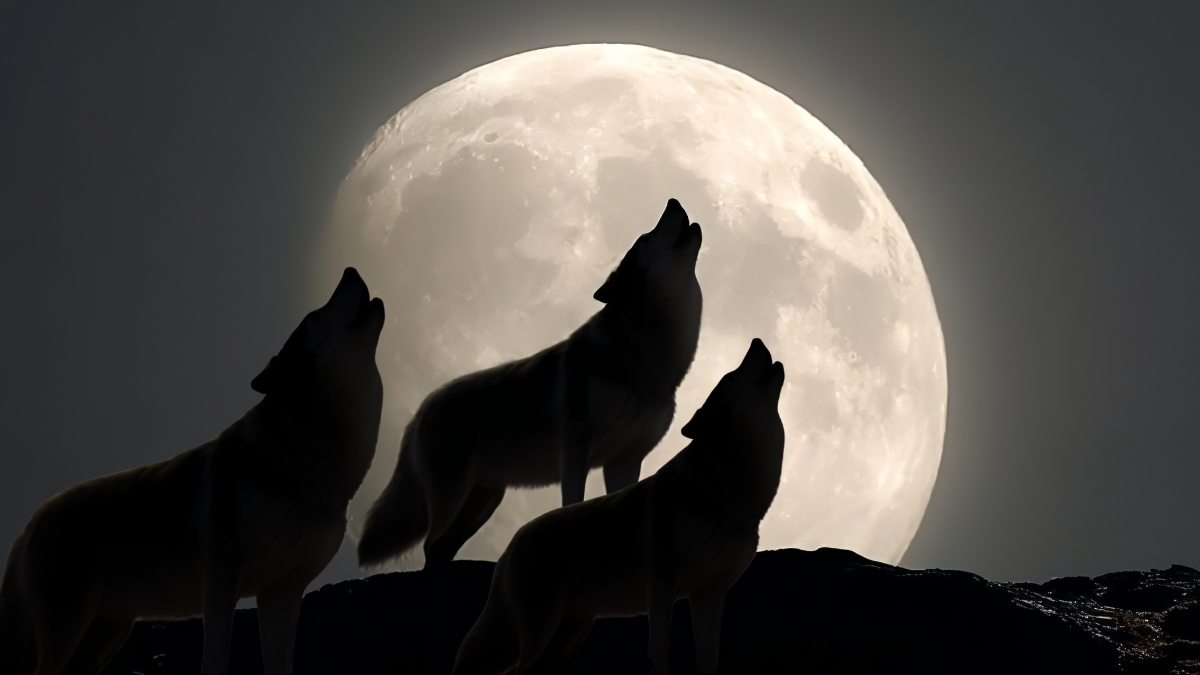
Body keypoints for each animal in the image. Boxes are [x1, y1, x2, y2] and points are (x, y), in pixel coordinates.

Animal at [0, 268, 385, 675]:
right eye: (314, 316)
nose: (350, 270)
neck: (304, 463)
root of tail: (32, 521)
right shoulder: (220, 584)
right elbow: (215, 660)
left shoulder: (281, 594)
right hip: (70, 636)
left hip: (107, 637)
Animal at [357, 198, 704, 570]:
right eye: (644, 238)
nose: (673, 201)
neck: (642, 356)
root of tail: (422, 408)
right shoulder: (576, 450)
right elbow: (572, 504)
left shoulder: (624, 461)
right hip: (453, 499)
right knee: (430, 545)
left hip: (484, 502)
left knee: (441, 549)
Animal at [451, 339, 786, 675]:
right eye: (730, 377)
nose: (757, 341)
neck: (728, 491)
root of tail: (513, 543)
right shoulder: (662, 585)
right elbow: (659, 654)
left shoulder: (709, 595)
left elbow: (708, 663)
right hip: (541, 634)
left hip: (570, 635)